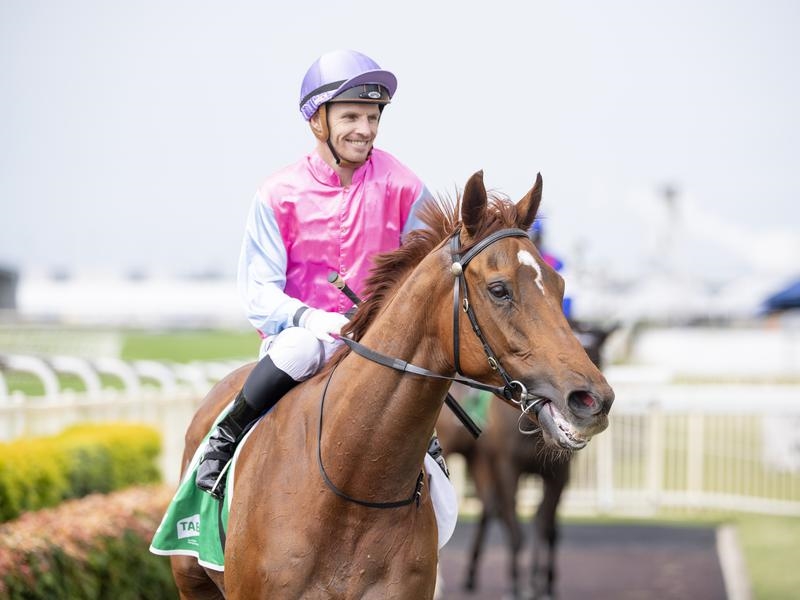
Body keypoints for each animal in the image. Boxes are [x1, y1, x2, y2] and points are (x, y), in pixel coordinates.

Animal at [438, 323, 616, 600]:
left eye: (597, 357)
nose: (589, 404)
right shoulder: (509, 468)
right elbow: (516, 528)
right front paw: (516, 584)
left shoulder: (557, 474)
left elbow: (545, 526)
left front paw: (543, 583)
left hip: (479, 460)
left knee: (488, 508)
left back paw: (471, 575)